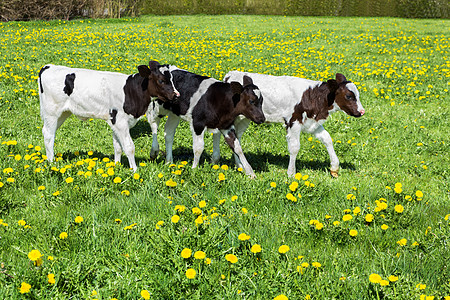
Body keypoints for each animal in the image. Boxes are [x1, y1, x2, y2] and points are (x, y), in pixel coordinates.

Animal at [38, 60, 179, 171]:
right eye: (161, 80)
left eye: (172, 79)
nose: (176, 95)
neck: (131, 90)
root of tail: (48, 67)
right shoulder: (120, 121)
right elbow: (129, 147)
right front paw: (135, 171)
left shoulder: (115, 122)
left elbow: (118, 146)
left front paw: (116, 166)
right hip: (51, 112)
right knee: (48, 134)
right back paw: (51, 163)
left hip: (63, 113)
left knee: (48, 132)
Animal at [221, 71, 366, 177]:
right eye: (349, 96)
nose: (362, 111)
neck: (313, 96)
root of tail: (230, 74)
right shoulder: (293, 121)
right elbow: (295, 147)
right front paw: (291, 173)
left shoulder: (312, 123)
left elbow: (327, 139)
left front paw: (334, 167)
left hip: (244, 119)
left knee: (237, 138)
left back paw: (240, 166)